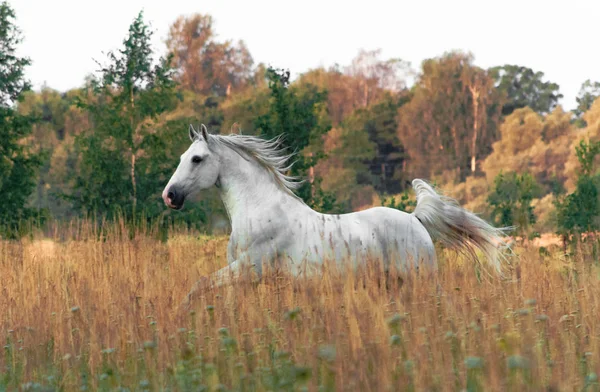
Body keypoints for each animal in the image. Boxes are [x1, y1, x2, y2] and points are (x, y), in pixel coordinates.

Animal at [162, 125, 508, 306]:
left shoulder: (249, 268)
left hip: (419, 279)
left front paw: (184, 313)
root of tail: (415, 219)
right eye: (181, 156)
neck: (259, 210)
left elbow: (200, 284)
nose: (170, 196)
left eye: (196, 159)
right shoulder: (245, 277)